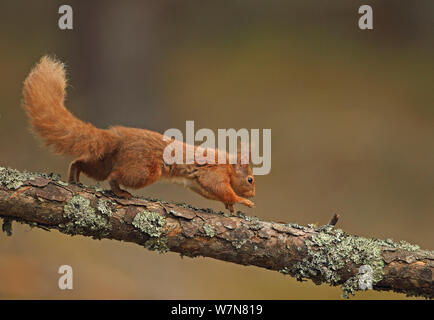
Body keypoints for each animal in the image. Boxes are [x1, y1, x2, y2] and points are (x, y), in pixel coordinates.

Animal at [22, 57, 254, 212]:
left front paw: (230, 205)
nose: (253, 193)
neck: (228, 164)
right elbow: (219, 187)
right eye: (250, 180)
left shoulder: (196, 183)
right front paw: (243, 201)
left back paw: (73, 177)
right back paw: (120, 192)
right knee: (114, 177)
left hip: (103, 162)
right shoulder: (214, 172)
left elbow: (210, 192)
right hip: (143, 170)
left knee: (82, 163)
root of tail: (116, 136)